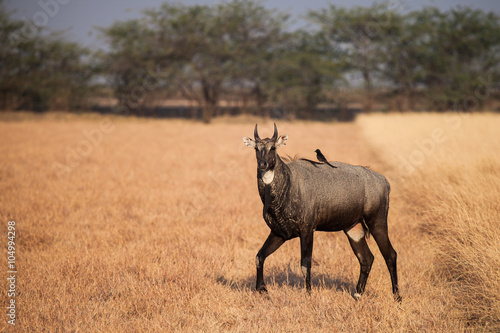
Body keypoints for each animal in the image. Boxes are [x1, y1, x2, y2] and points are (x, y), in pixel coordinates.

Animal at [243, 123, 402, 300]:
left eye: (272, 148)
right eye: (256, 148)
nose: (262, 164)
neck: (288, 183)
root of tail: (384, 182)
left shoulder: (307, 230)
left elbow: (305, 264)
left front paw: (308, 294)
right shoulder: (279, 233)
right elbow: (259, 256)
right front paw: (261, 289)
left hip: (377, 223)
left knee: (390, 255)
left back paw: (397, 296)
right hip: (354, 229)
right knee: (367, 258)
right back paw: (357, 294)